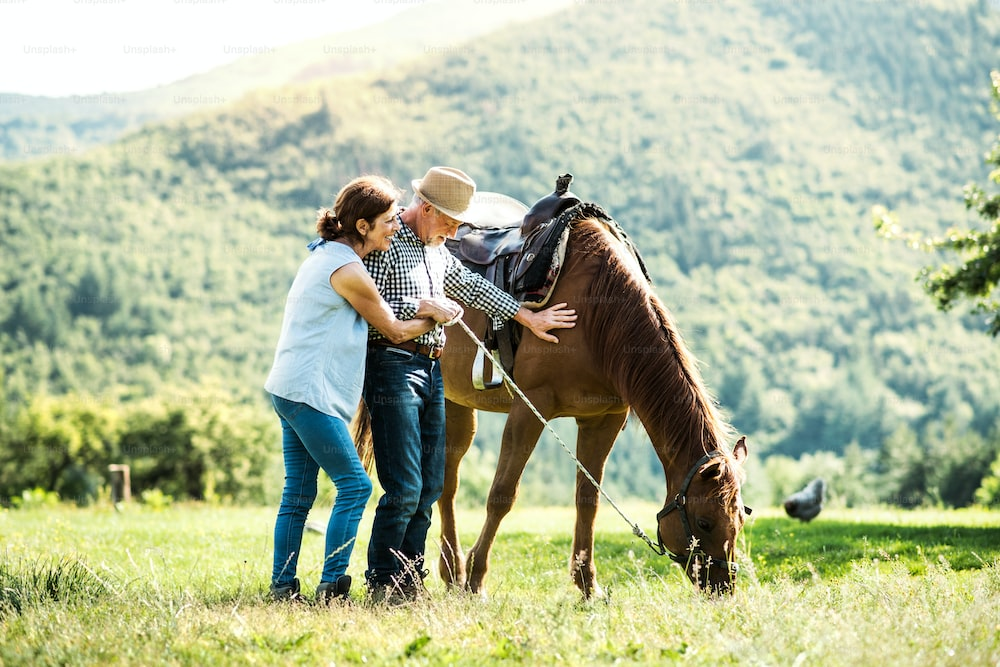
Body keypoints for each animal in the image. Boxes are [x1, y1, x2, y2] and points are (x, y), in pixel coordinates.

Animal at [438, 213, 752, 596]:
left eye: (739, 520)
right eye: (704, 522)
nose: (723, 587)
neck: (595, 313)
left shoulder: (603, 418)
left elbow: (588, 500)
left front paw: (588, 585)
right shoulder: (529, 408)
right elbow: (502, 495)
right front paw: (477, 580)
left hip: (456, 404)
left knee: (446, 482)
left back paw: (451, 571)